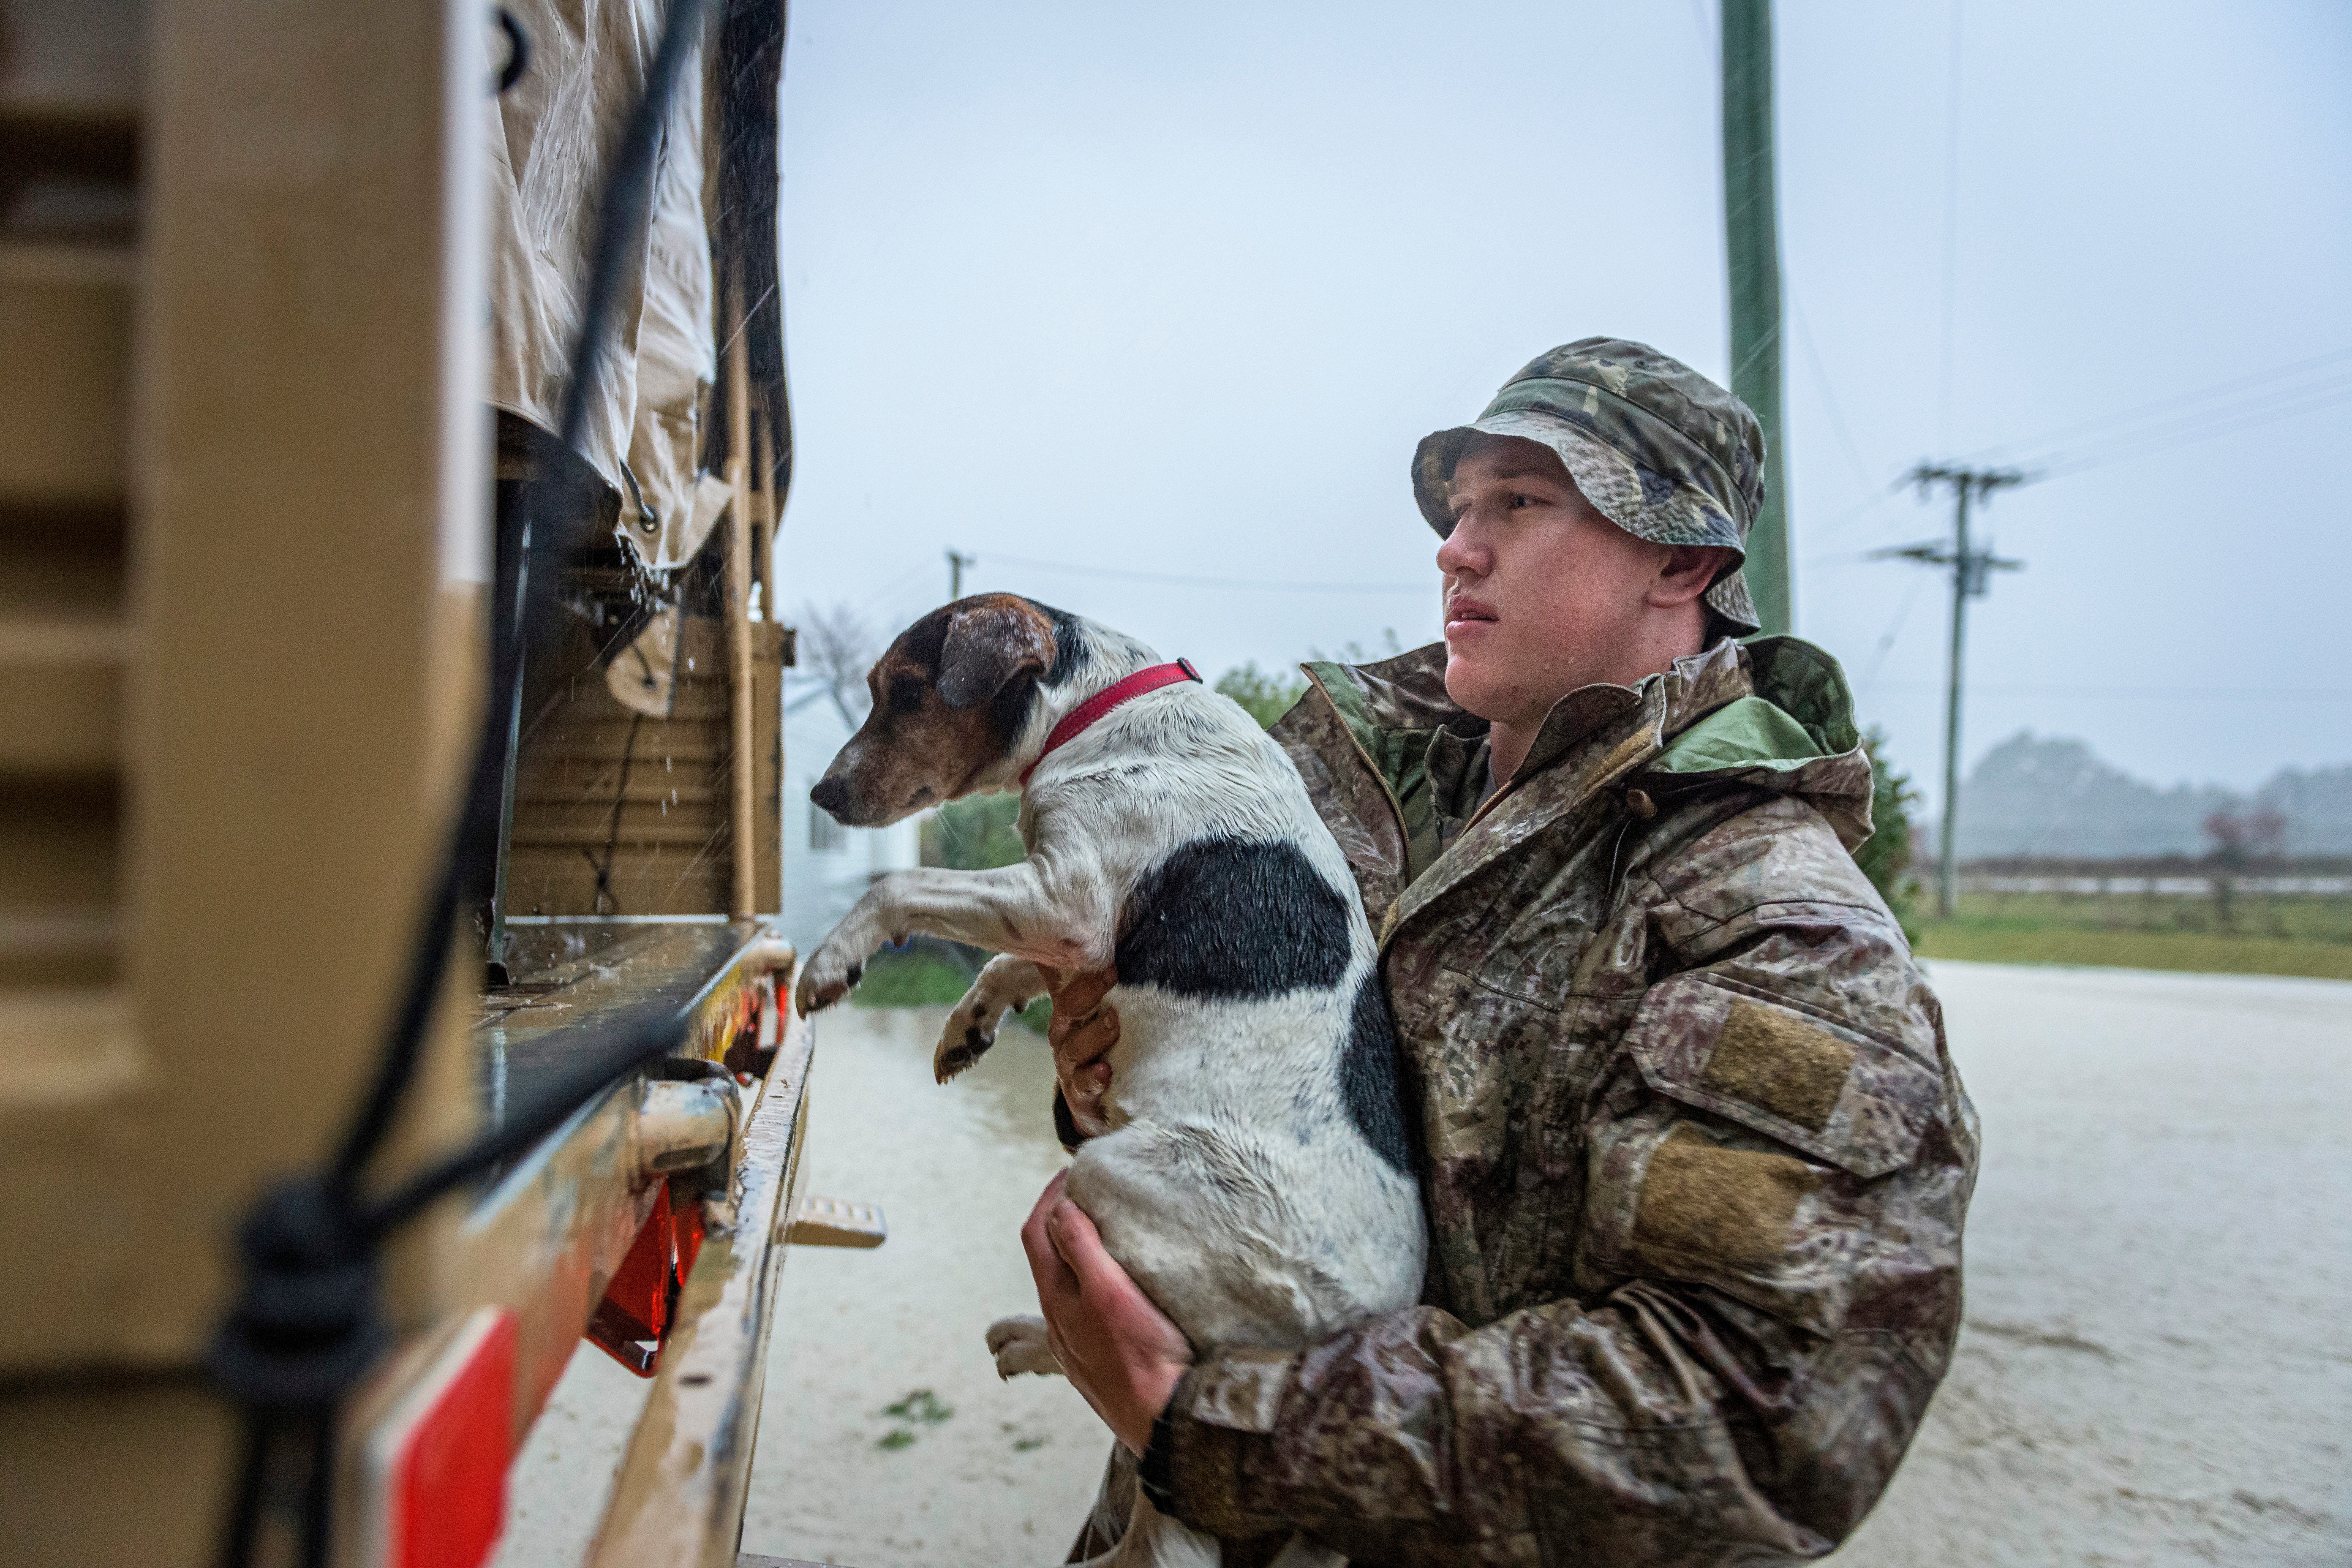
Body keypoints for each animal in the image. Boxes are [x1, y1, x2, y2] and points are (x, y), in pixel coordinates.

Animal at [800, 597, 1421, 1568]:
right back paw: (1026, 1337)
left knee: (1154, 1486)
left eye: (903, 691)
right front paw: (967, 1026)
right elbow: (1007, 965)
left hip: (1111, 1186)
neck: (1102, 708)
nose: (822, 797)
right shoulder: (1065, 933)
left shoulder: (1070, 900)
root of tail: (1347, 1338)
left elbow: (903, 884)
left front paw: (832, 959)